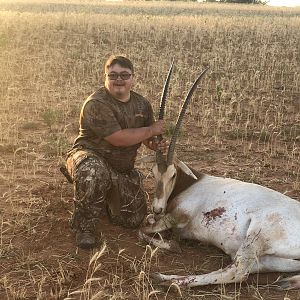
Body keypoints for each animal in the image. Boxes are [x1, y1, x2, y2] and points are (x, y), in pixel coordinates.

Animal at [139, 62, 300, 290]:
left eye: (173, 174)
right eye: (153, 172)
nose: (158, 207)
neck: (192, 182)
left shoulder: (176, 217)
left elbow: (144, 228)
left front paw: (172, 244)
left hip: (257, 237)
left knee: (238, 271)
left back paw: (164, 279)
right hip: (273, 259)